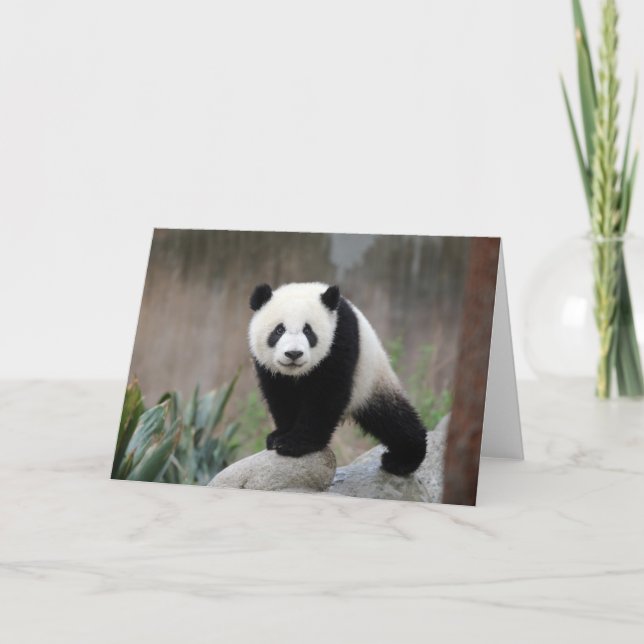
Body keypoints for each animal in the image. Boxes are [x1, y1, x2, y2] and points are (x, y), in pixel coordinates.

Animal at [248, 282, 428, 476]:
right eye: (279, 330)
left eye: (308, 331)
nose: (294, 354)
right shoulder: (270, 369)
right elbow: (281, 396)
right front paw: (279, 436)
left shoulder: (340, 339)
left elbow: (326, 394)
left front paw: (296, 443)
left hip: (372, 380)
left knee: (393, 419)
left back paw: (402, 460)